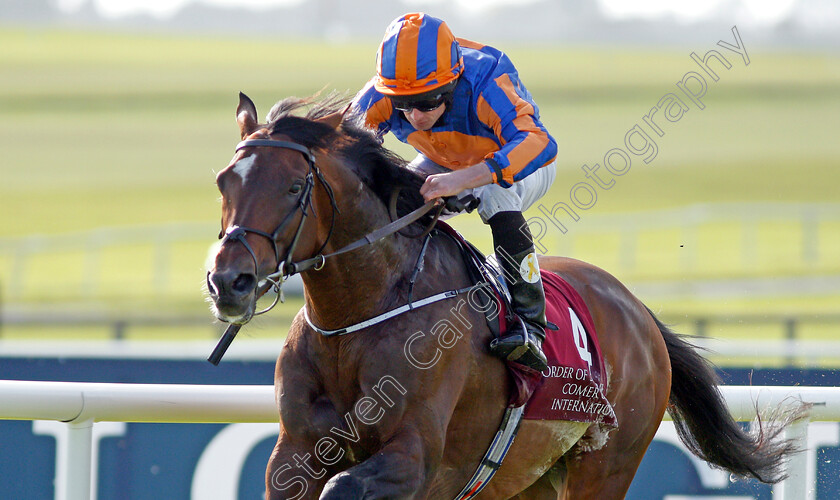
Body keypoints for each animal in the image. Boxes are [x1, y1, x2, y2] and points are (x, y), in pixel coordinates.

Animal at [207, 92, 804, 498]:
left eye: (294, 187)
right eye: (223, 182)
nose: (227, 281)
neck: (354, 321)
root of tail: (639, 314)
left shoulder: (415, 455)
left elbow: (347, 485)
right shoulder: (295, 451)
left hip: (606, 466)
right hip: (529, 478)